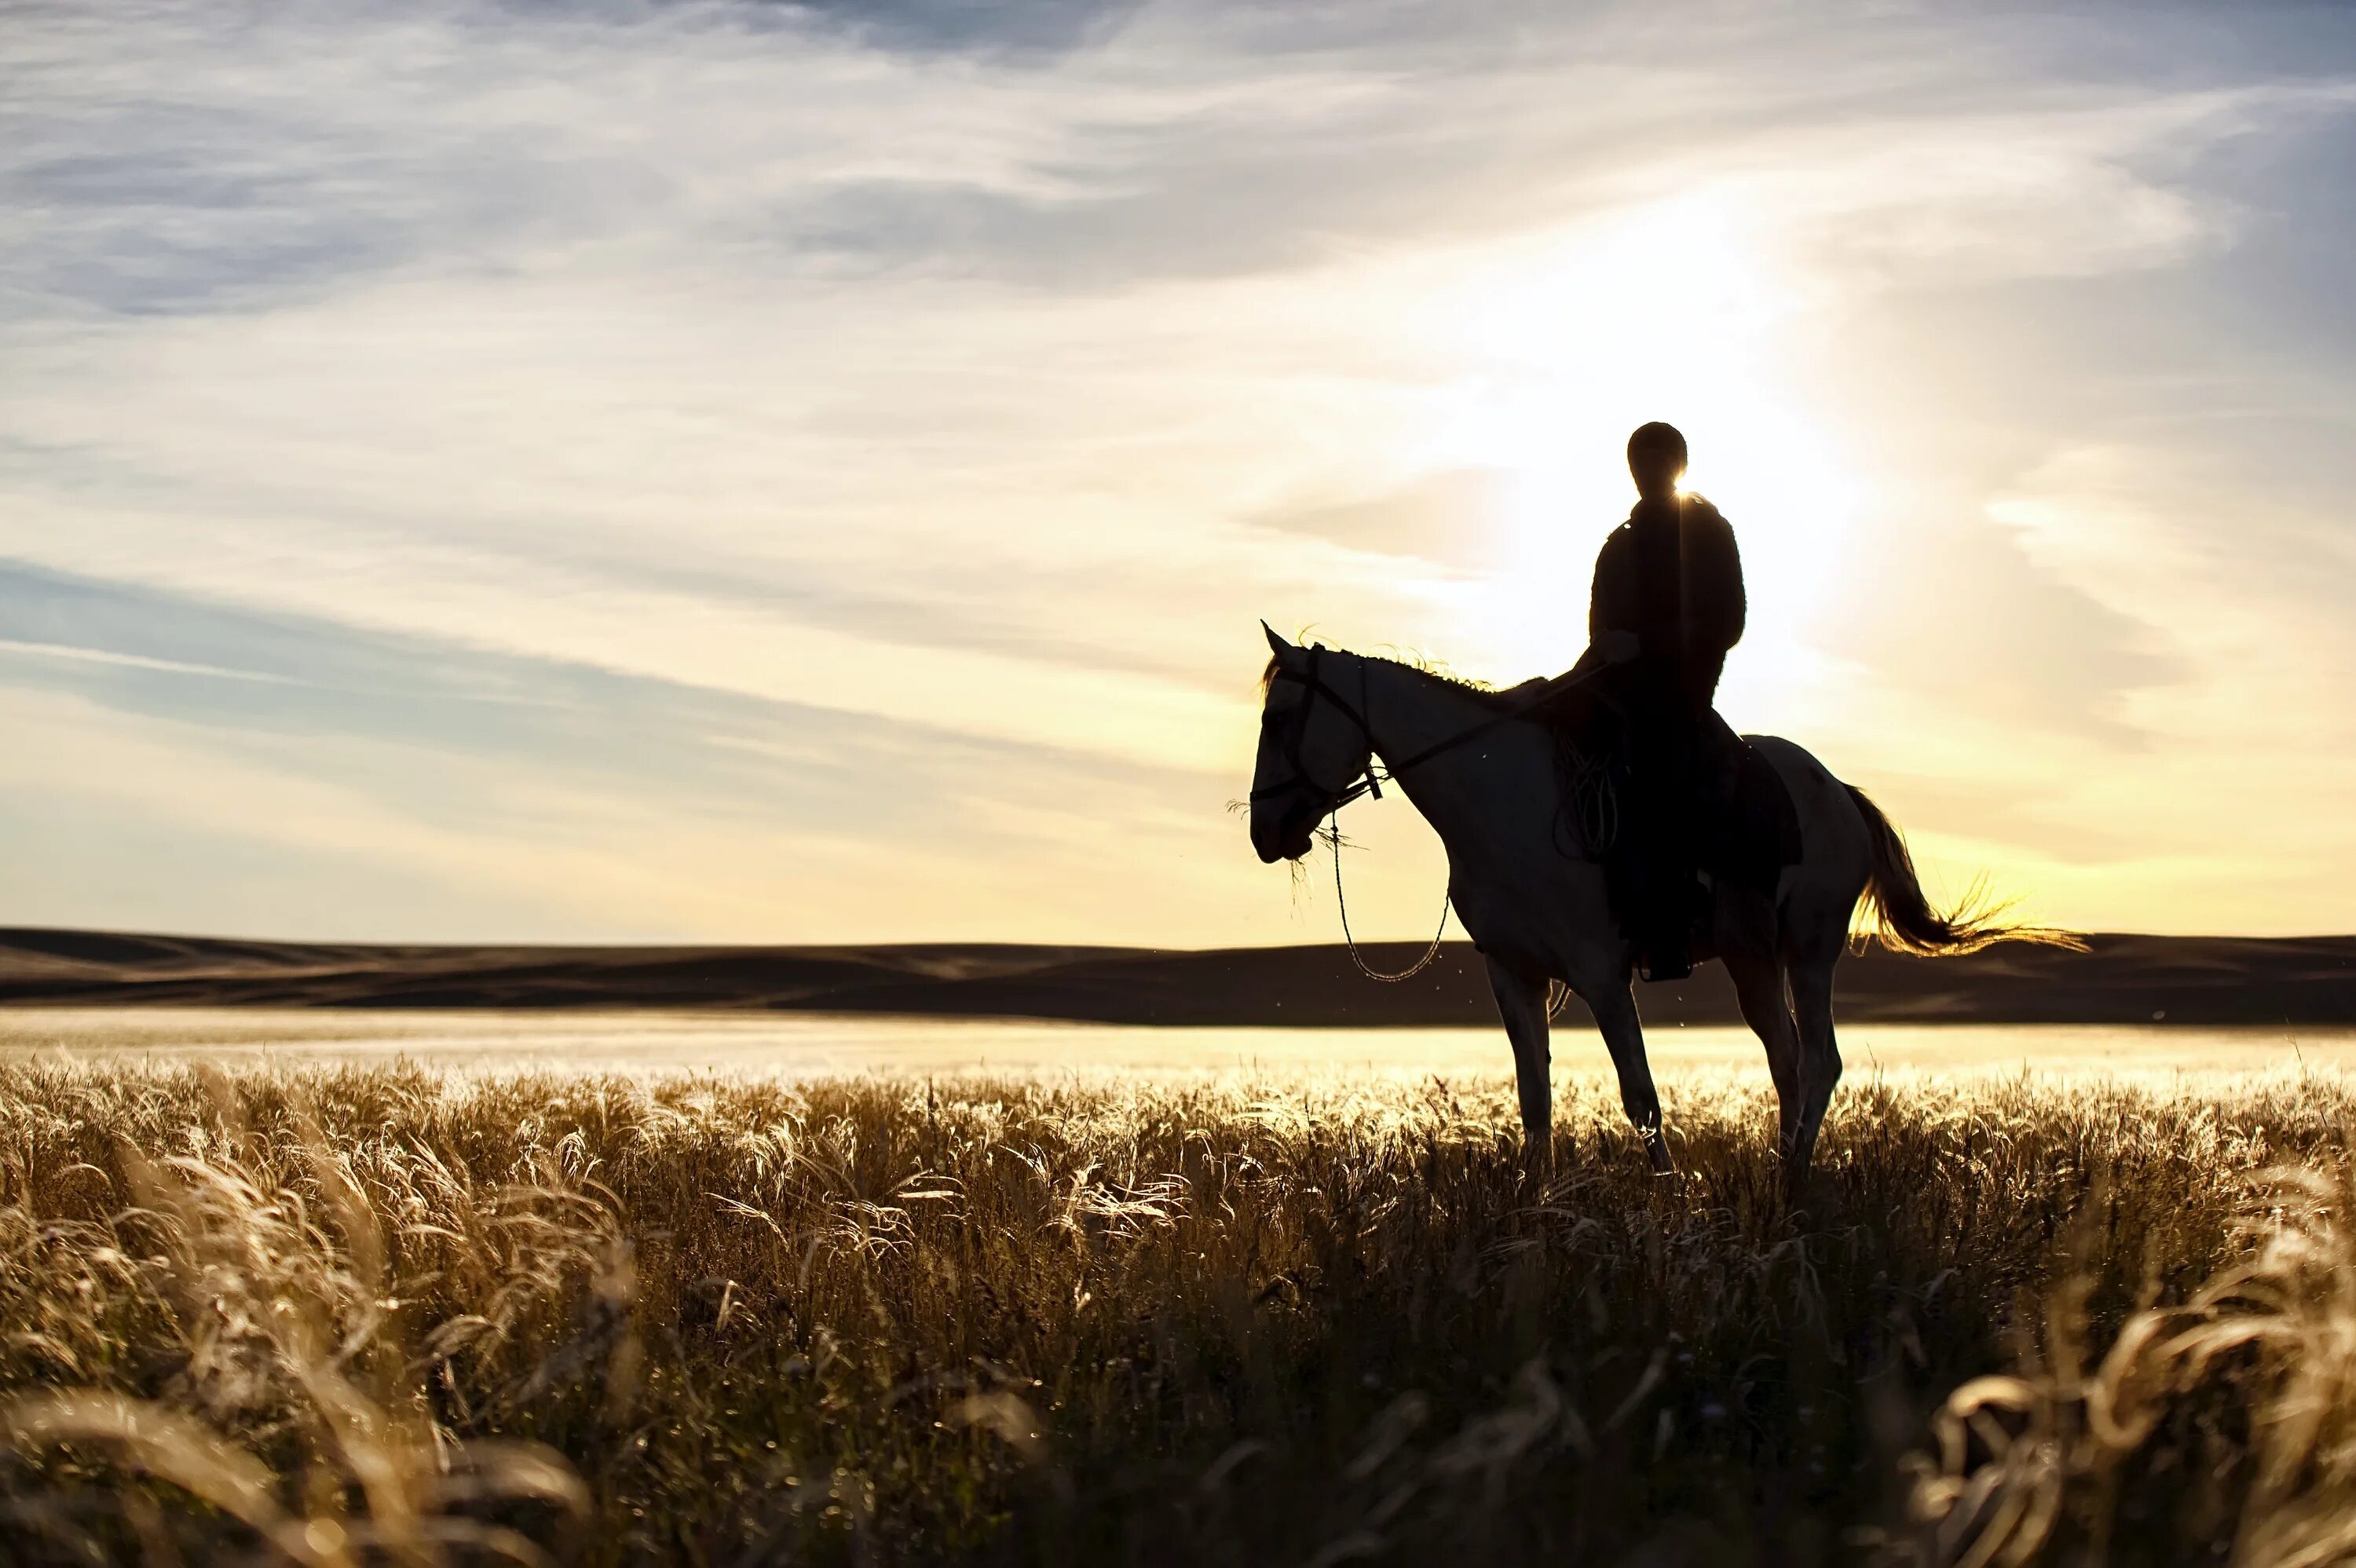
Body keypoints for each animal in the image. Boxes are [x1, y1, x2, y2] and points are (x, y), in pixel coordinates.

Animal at [1253, 621, 2064, 1172]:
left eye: (1279, 718)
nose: (1265, 830)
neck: (1496, 798)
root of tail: (1837, 791)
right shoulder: (1513, 974)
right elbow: (1535, 1101)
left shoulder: (1602, 975)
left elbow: (1641, 1098)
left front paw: (1666, 1207)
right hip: (1757, 958)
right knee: (1792, 1059)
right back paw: (1785, 1177)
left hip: (1807, 949)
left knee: (1817, 1060)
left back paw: (1794, 1180)